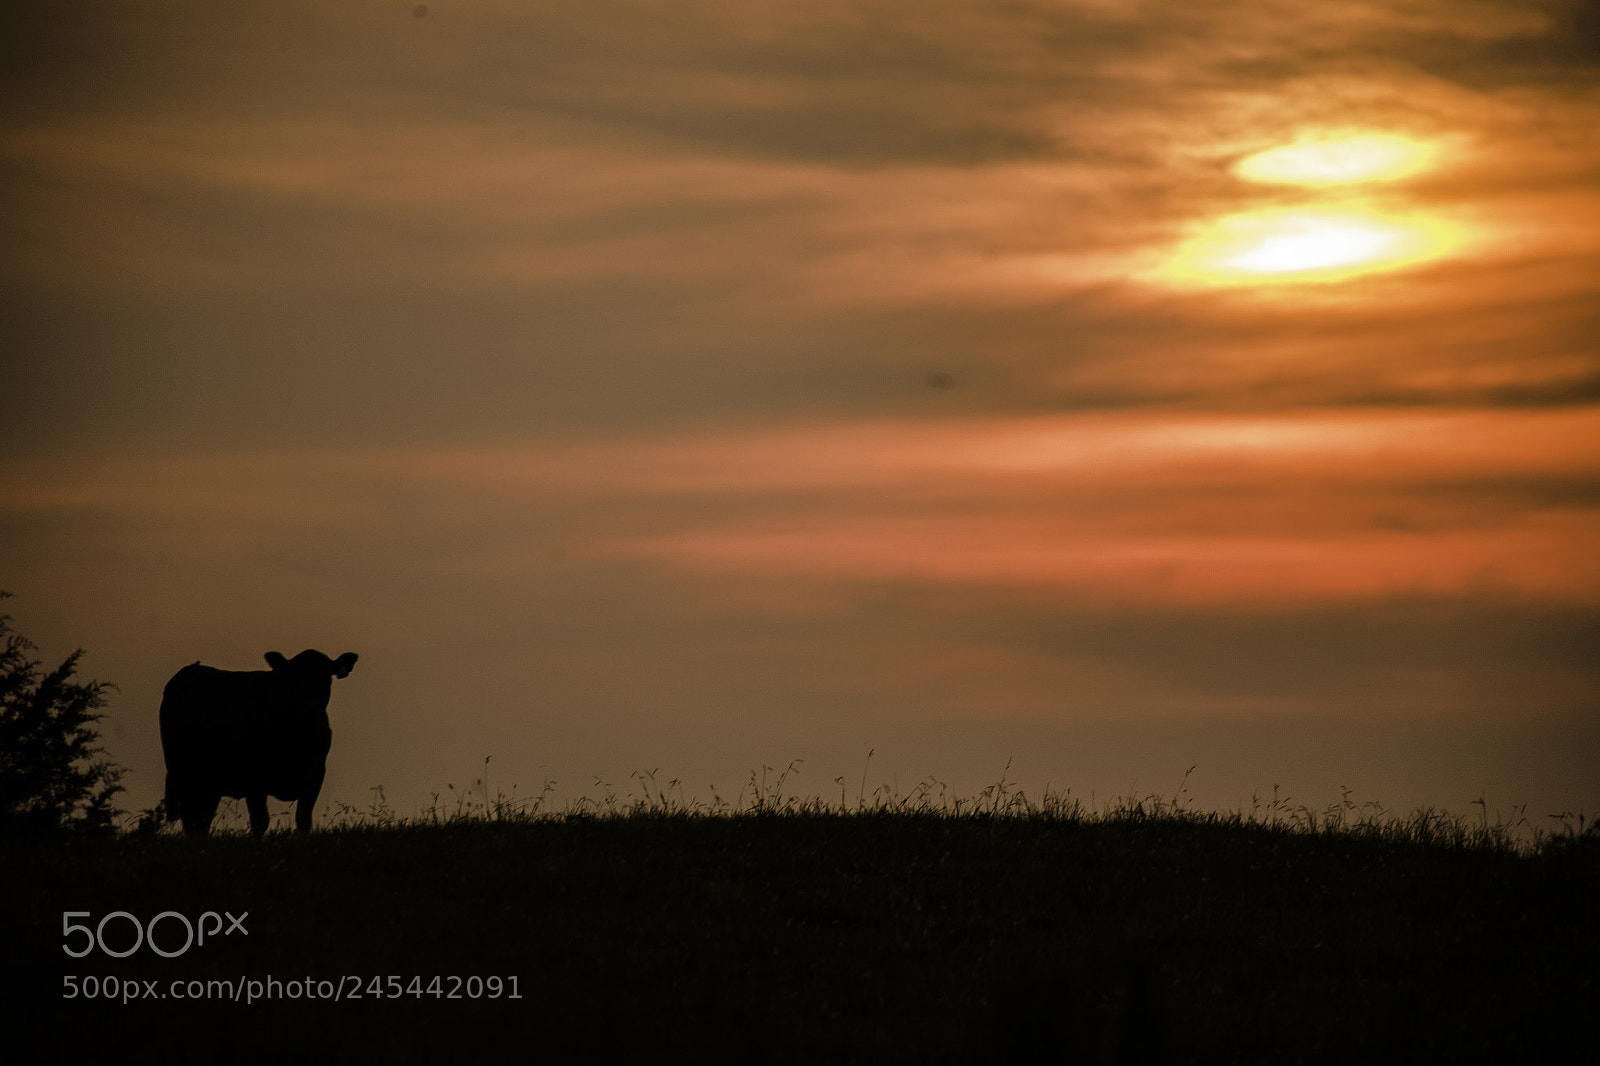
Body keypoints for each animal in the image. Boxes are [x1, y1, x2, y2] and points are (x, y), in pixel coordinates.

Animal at [159, 650, 359, 836]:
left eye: (326, 678)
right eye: (294, 680)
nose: (310, 707)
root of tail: (193, 668)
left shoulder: (315, 775)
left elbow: (303, 821)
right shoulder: (254, 779)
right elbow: (260, 821)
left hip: (209, 784)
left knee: (202, 819)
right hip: (184, 774)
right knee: (191, 818)